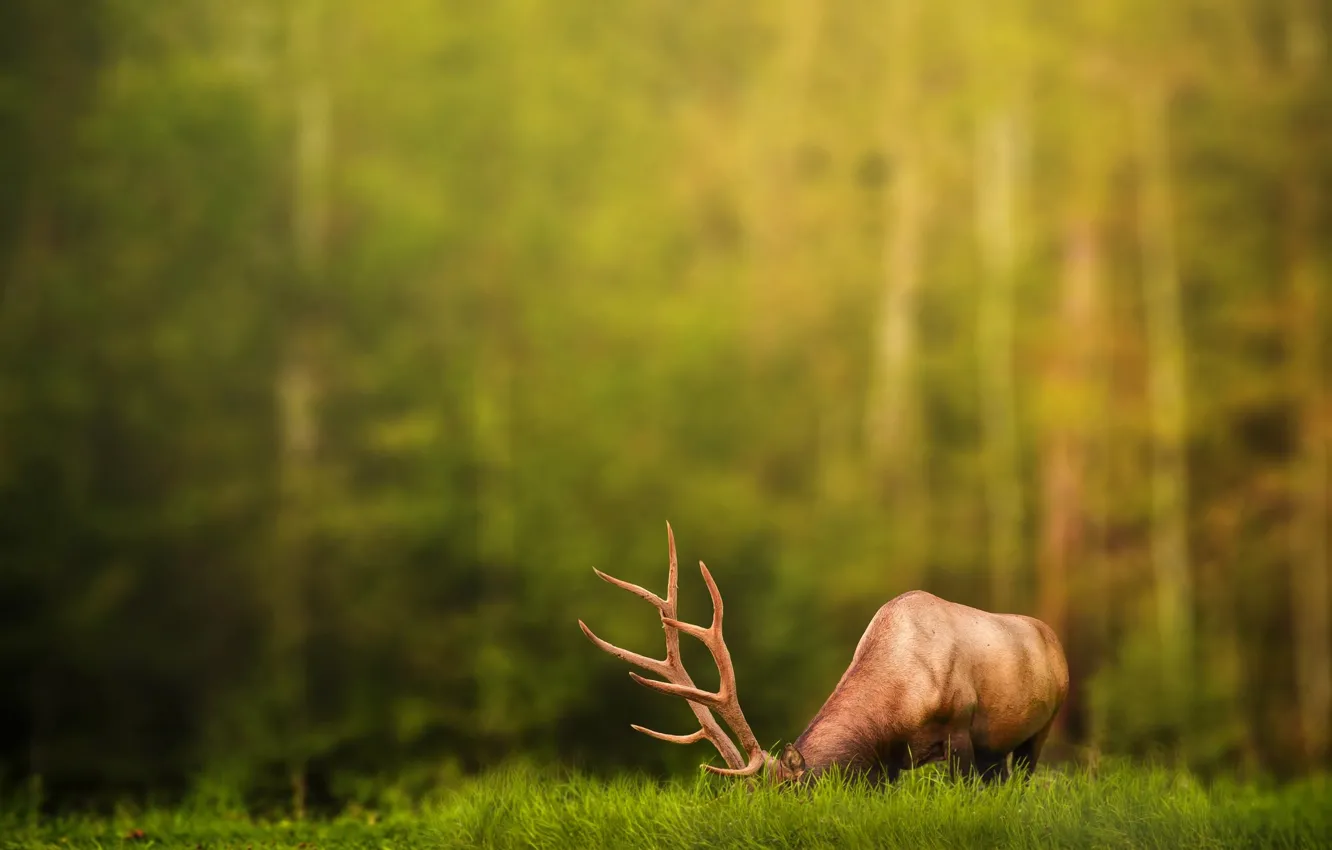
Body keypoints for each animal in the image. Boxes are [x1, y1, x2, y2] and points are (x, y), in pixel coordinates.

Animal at [578, 524, 1069, 785]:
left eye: (790, 798)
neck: (903, 698)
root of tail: (1056, 640)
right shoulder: (888, 761)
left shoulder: (962, 728)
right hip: (1000, 747)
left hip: (1042, 727)